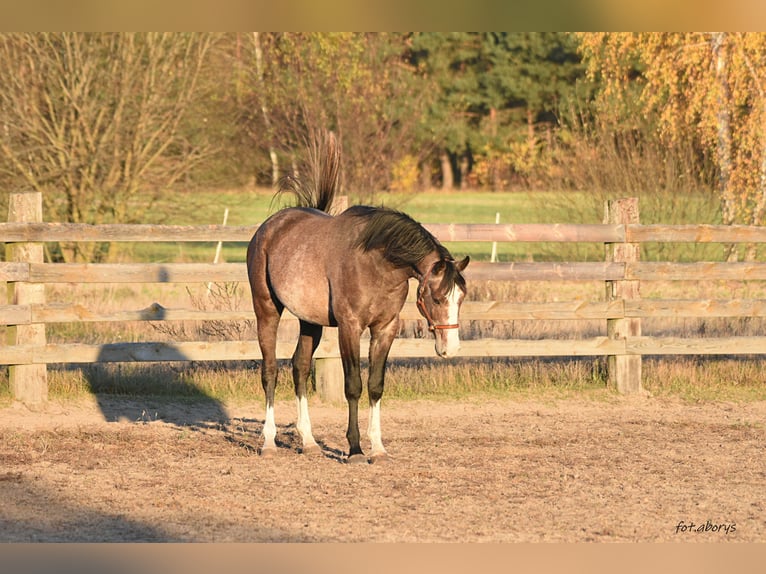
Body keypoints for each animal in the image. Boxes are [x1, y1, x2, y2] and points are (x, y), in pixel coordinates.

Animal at [249, 133, 472, 466]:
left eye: (461, 299)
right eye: (436, 297)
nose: (451, 348)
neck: (376, 264)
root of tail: (269, 227)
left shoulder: (385, 329)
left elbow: (375, 386)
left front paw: (377, 448)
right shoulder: (350, 327)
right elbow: (353, 385)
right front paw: (354, 449)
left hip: (309, 322)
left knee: (299, 368)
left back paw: (309, 441)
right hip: (266, 311)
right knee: (270, 371)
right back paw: (268, 442)